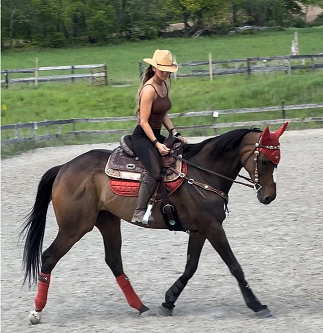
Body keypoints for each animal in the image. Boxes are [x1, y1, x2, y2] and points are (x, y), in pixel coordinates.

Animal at [20, 121, 288, 322]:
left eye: (277, 160)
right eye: (265, 161)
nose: (269, 196)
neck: (202, 172)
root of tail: (64, 167)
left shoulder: (199, 230)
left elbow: (190, 267)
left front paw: (169, 300)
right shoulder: (212, 228)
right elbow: (234, 266)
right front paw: (257, 305)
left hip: (107, 222)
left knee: (114, 261)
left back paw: (140, 307)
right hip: (74, 228)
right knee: (49, 257)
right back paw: (37, 311)